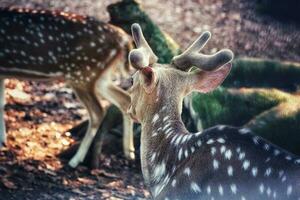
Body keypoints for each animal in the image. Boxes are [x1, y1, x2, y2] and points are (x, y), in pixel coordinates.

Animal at [0, 7, 135, 168]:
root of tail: (123, 38)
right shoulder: (1, 73)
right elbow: (1, 103)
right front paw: (2, 140)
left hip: (81, 75)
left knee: (98, 111)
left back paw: (75, 160)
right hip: (99, 77)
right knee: (125, 99)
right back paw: (130, 152)